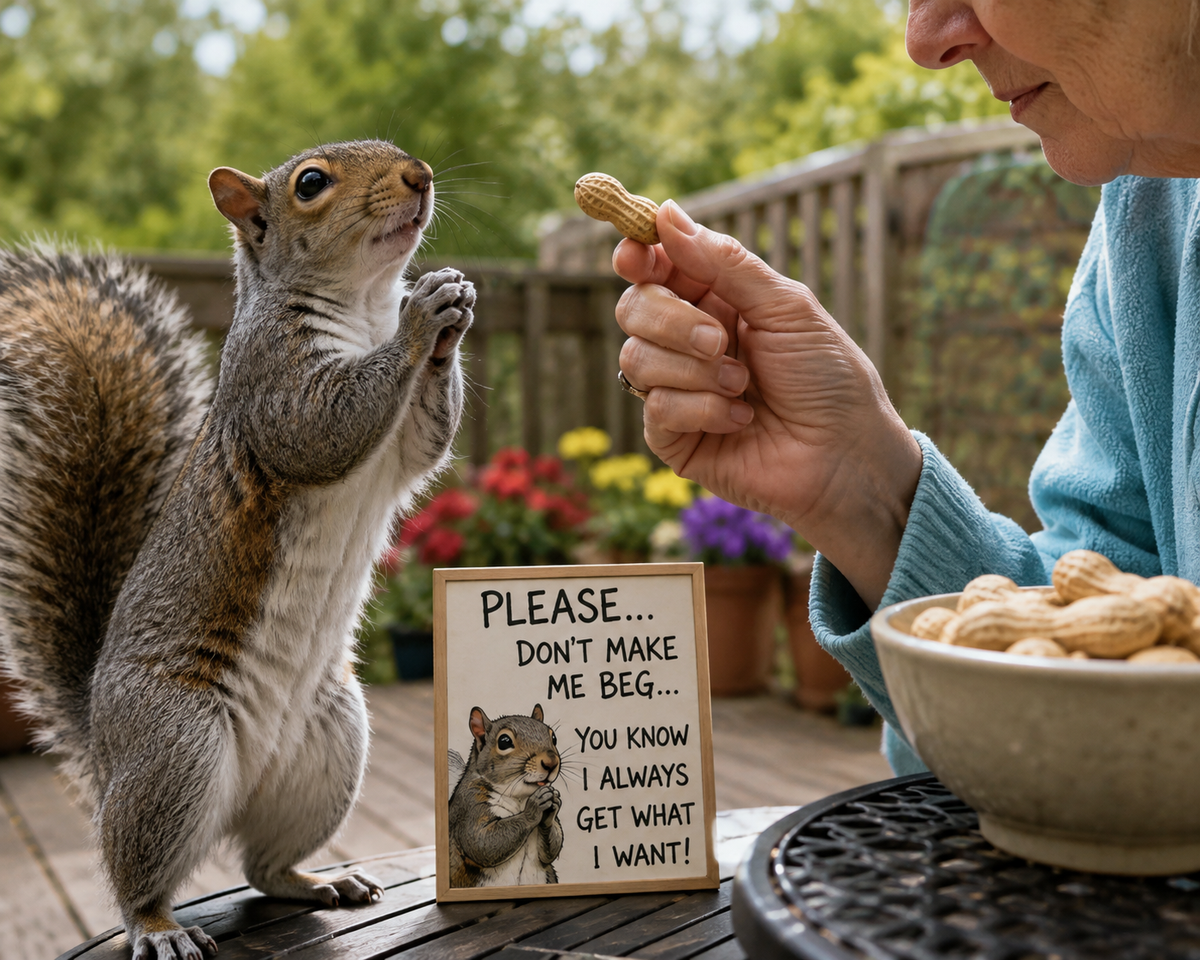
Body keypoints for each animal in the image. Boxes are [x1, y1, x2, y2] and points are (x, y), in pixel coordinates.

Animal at [0, 140, 473, 960]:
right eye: (310, 183)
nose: (419, 176)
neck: (361, 308)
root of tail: (104, 744)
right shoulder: (272, 383)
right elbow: (325, 425)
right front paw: (423, 318)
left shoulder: (404, 447)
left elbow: (426, 440)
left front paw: (452, 310)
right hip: (176, 747)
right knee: (137, 872)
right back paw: (158, 927)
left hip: (331, 744)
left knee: (263, 866)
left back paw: (318, 881)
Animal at [447, 703, 564, 888]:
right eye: (504, 741)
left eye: (554, 738)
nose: (551, 763)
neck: (520, 798)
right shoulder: (470, 806)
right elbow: (481, 842)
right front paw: (534, 808)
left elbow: (551, 849)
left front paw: (553, 804)